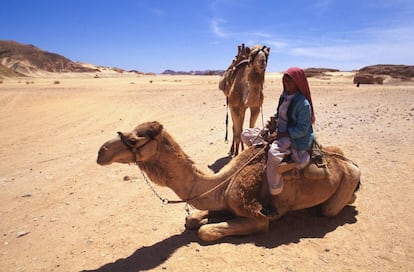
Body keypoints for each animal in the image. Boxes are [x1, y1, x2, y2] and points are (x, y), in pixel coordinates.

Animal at [98, 121, 362, 242]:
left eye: (134, 140)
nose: (101, 152)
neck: (223, 182)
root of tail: (350, 162)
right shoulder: (223, 201)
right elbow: (193, 219)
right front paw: (201, 217)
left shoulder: (257, 216)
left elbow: (205, 231)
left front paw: (208, 224)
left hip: (347, 180)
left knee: (330, 208)